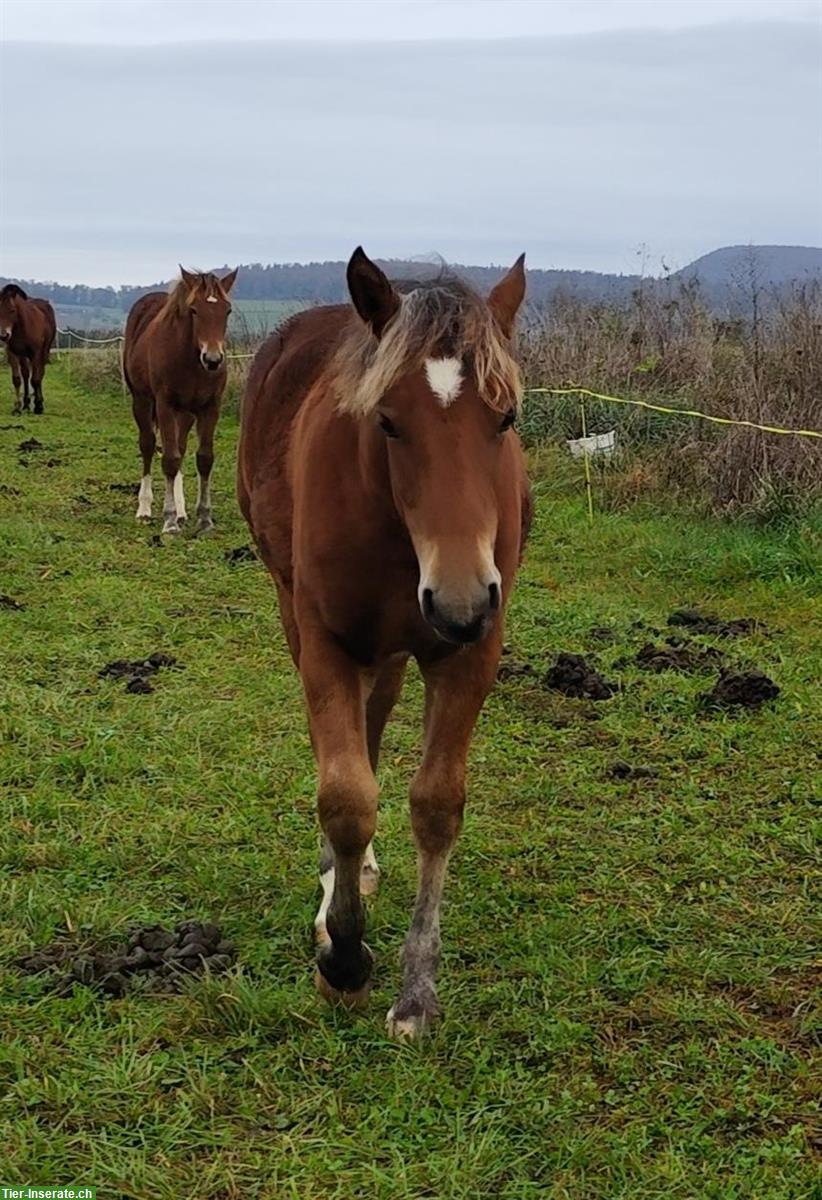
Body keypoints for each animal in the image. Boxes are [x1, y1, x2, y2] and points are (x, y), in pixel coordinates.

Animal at [0, 283, 56, 415]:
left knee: (40, 373)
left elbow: (35, 379)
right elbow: (17, 379)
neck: (21, 326)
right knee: (26, 374)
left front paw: (38, 406)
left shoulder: (35, 353)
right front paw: (17, 408)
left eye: (12, 310)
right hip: (23, 355)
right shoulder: (13, 353)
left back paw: (39, 400)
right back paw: (26, 403)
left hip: (44, 351)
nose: (4, 335)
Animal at [121, 270, 238, 537]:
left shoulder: (210, 407)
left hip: (185, 414)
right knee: (148, 446)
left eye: (227, 311)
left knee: (180, 448)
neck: (192, 362)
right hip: (142, 401)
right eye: (194, 310)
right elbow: (169, 459)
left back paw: (183, 510)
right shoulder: (165, 405)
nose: (213, 359)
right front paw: (170, 521)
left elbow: (203, 458)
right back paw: (144, 509)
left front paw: (204, 519)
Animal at [237, 248, 532, 1036]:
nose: (462, 599)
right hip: (300, 614)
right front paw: (342, 959)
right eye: (389, 422)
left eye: (506, 417)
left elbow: (436, 804)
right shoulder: (326, 642)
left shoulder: (468, 653)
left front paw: (417, 992)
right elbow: (345, 796)